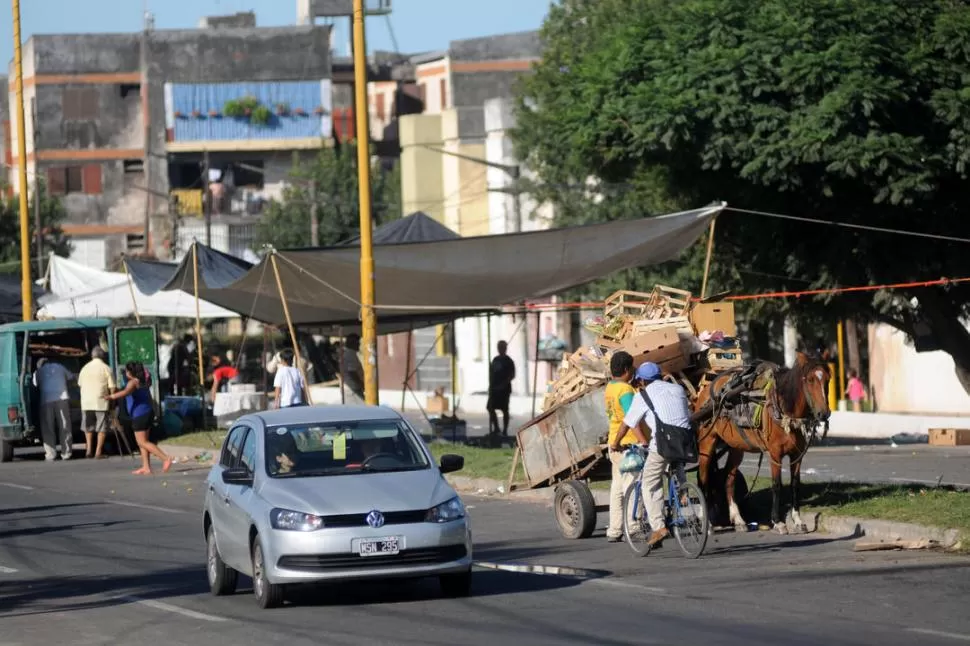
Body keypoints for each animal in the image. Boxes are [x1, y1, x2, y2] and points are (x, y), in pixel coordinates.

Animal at [692, 354, 828, 536]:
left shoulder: (797, 455)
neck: (783, 409)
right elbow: (776, 485)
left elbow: (795, 485)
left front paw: (798, 521)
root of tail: (706, 391)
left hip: (737, 447)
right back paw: (708, 524)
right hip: (707, 443)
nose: (823, 413)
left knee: (729, 479)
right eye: (811, 380)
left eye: (828, 379)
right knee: (703, 480)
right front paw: (778, 522)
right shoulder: (775, 454)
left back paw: (738, 520)